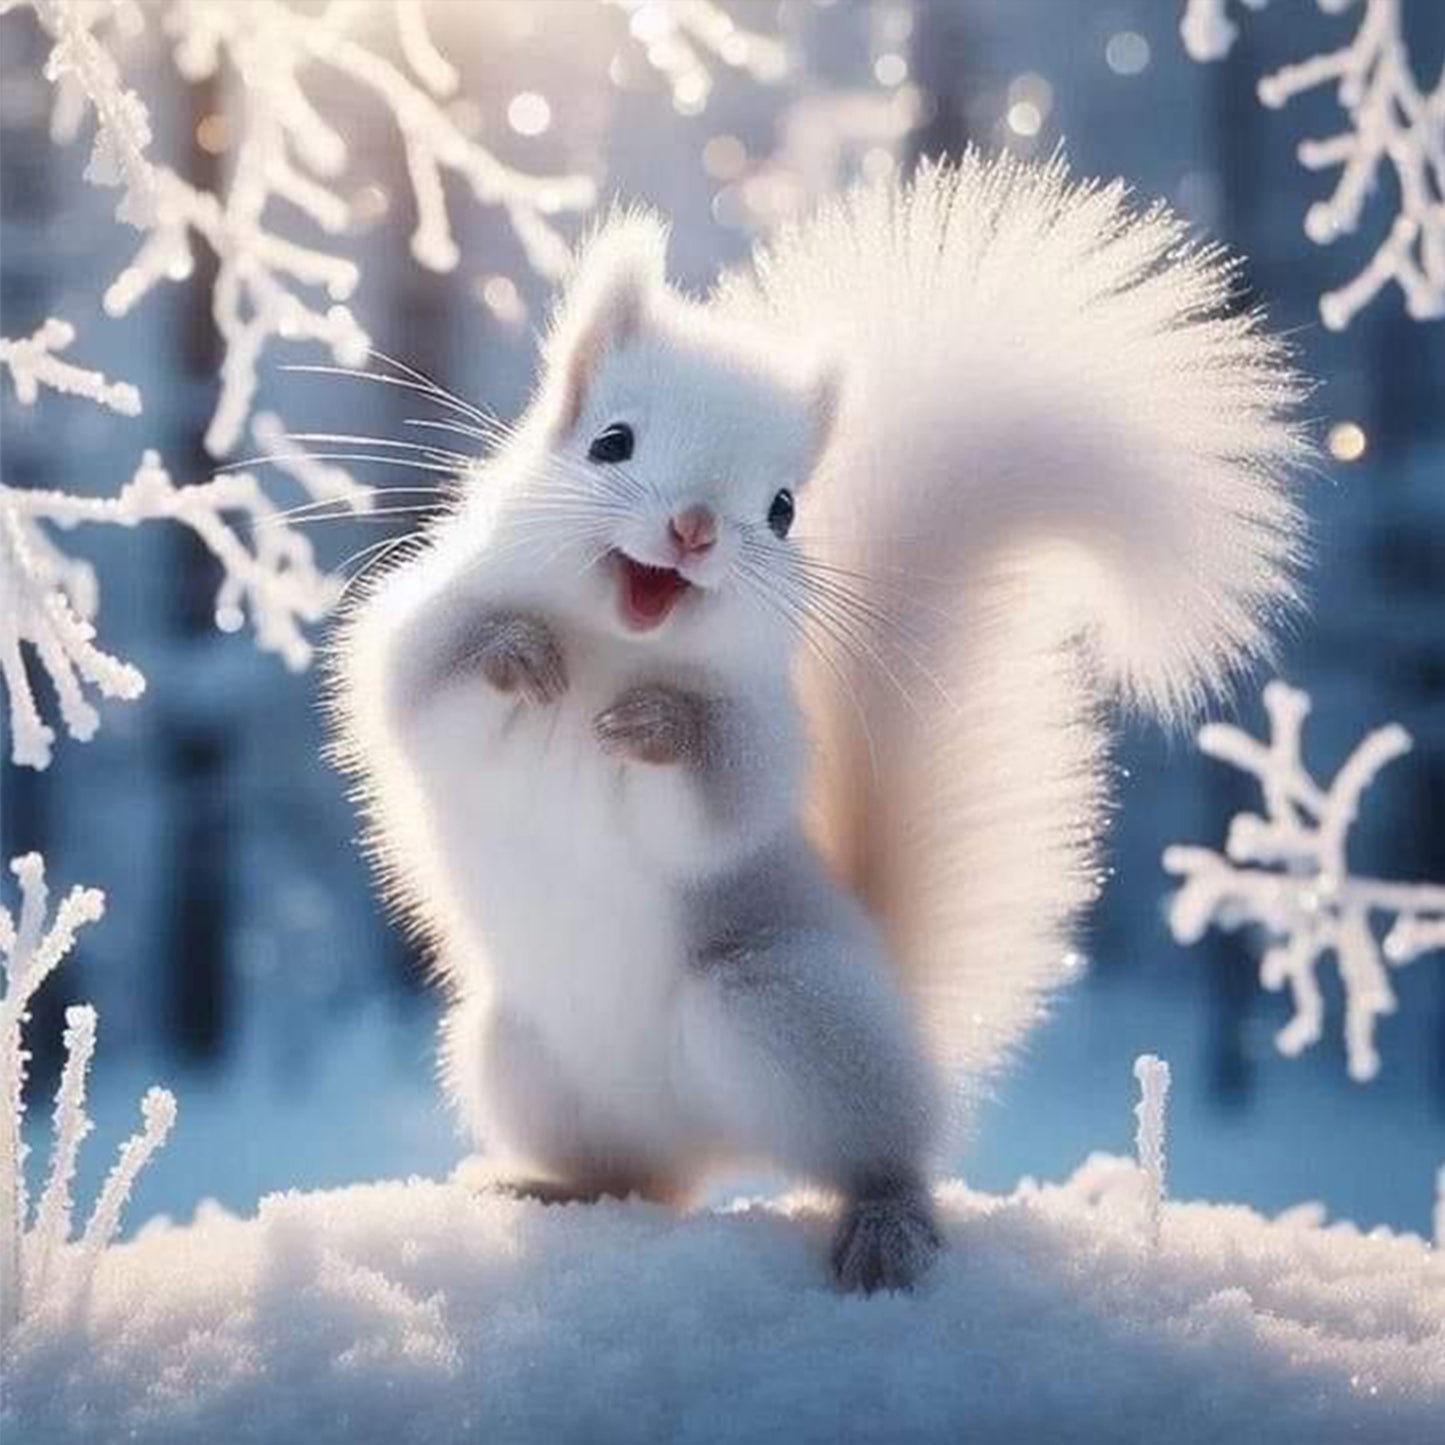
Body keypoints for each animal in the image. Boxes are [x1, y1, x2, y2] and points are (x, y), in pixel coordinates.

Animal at [335, 155, 1307, 1294]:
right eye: (609, 442)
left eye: (784, 507)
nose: (693, 529)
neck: (618, 644)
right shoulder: (424, 626)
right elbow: (416, 686)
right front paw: (518, 655)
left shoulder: (763, 734)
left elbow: (718, 799)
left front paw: (660, 722)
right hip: (520, 1059)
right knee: (645, 1179)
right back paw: (548, 1187)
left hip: (782, 1008)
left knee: (875, 1152)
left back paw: (884, 1223)